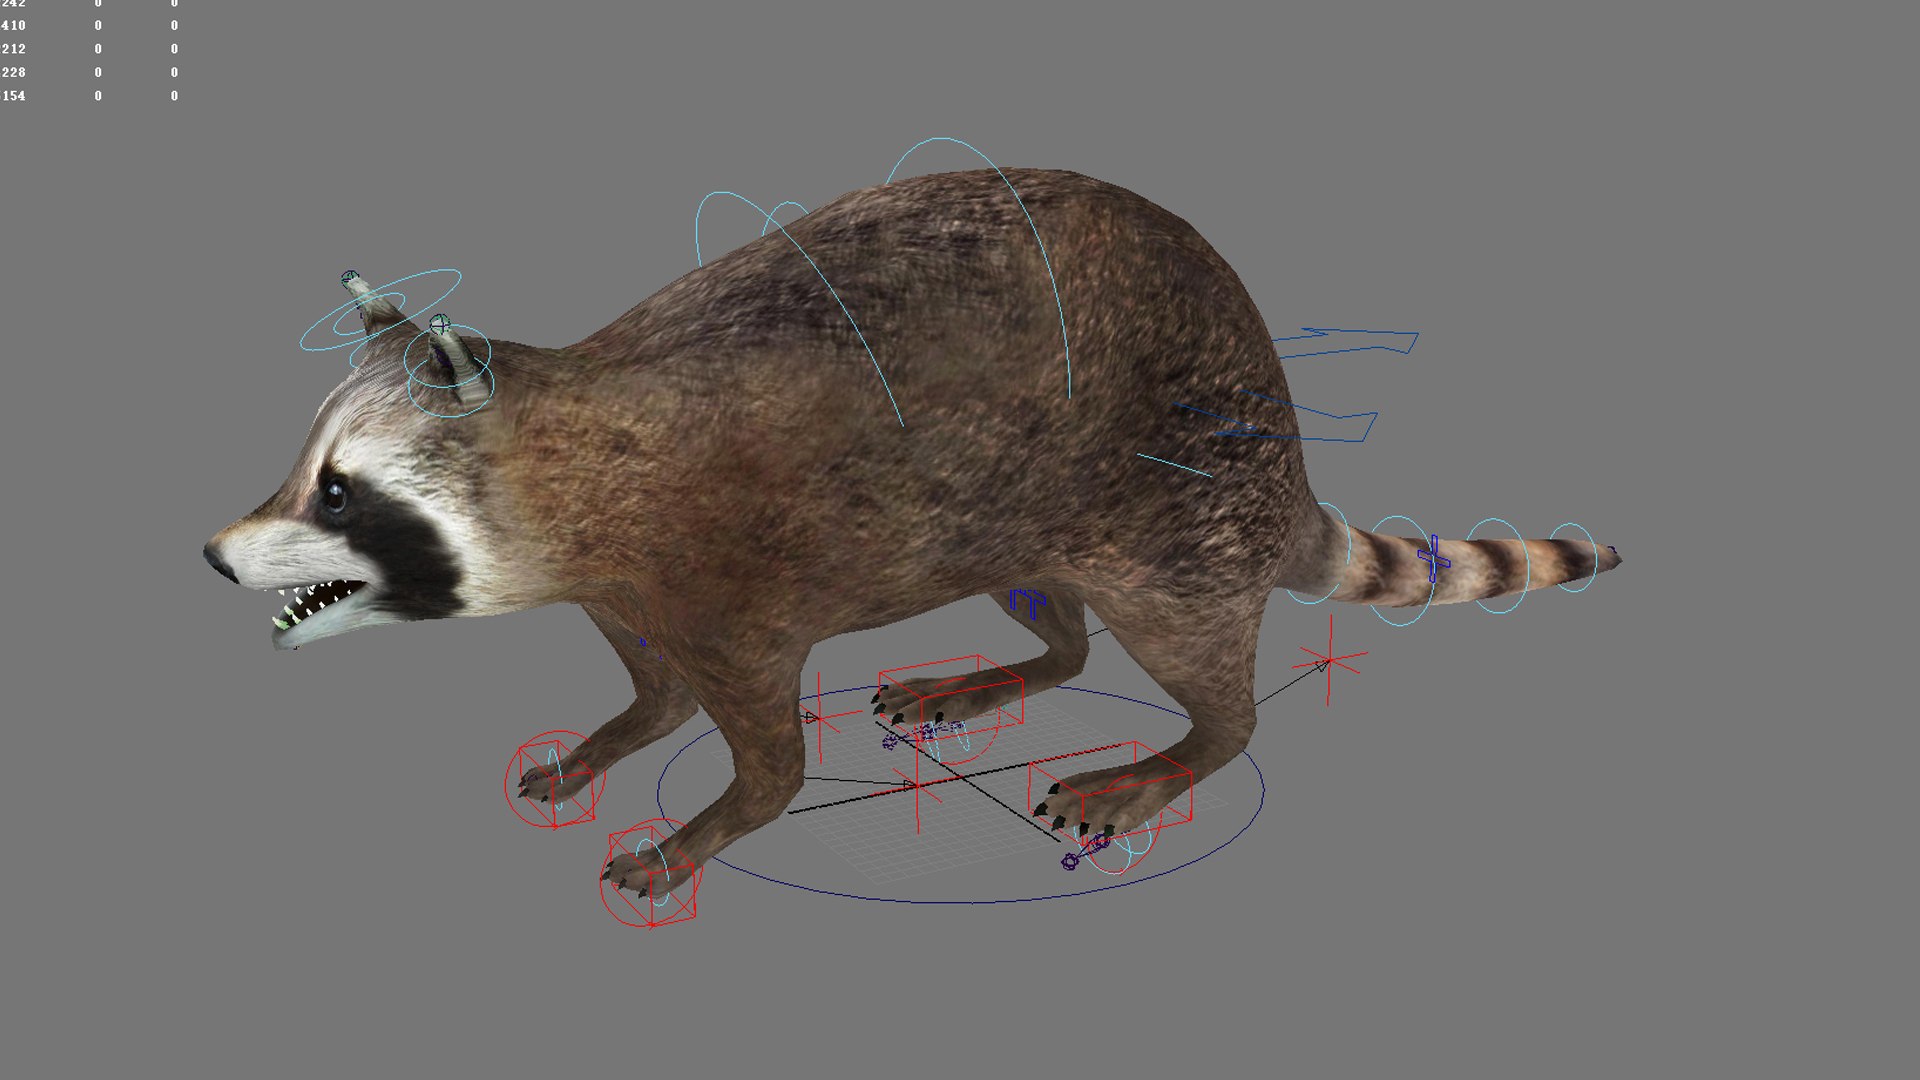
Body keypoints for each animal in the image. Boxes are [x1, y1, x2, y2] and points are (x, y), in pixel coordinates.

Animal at [203, 167, 1621, 902]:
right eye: (304, 474)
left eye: (338, 495)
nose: (214, 552)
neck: (571, 454)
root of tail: (1280, 431)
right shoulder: (633, 589)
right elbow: (656, 694)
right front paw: (611, 741)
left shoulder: (730, 580)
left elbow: (771, 765)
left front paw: (700, 832)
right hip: (1022, 526)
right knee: (1059, 626)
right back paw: (1016, 670)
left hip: (1175, 503)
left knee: (1203, 670)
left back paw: (1181, 748)